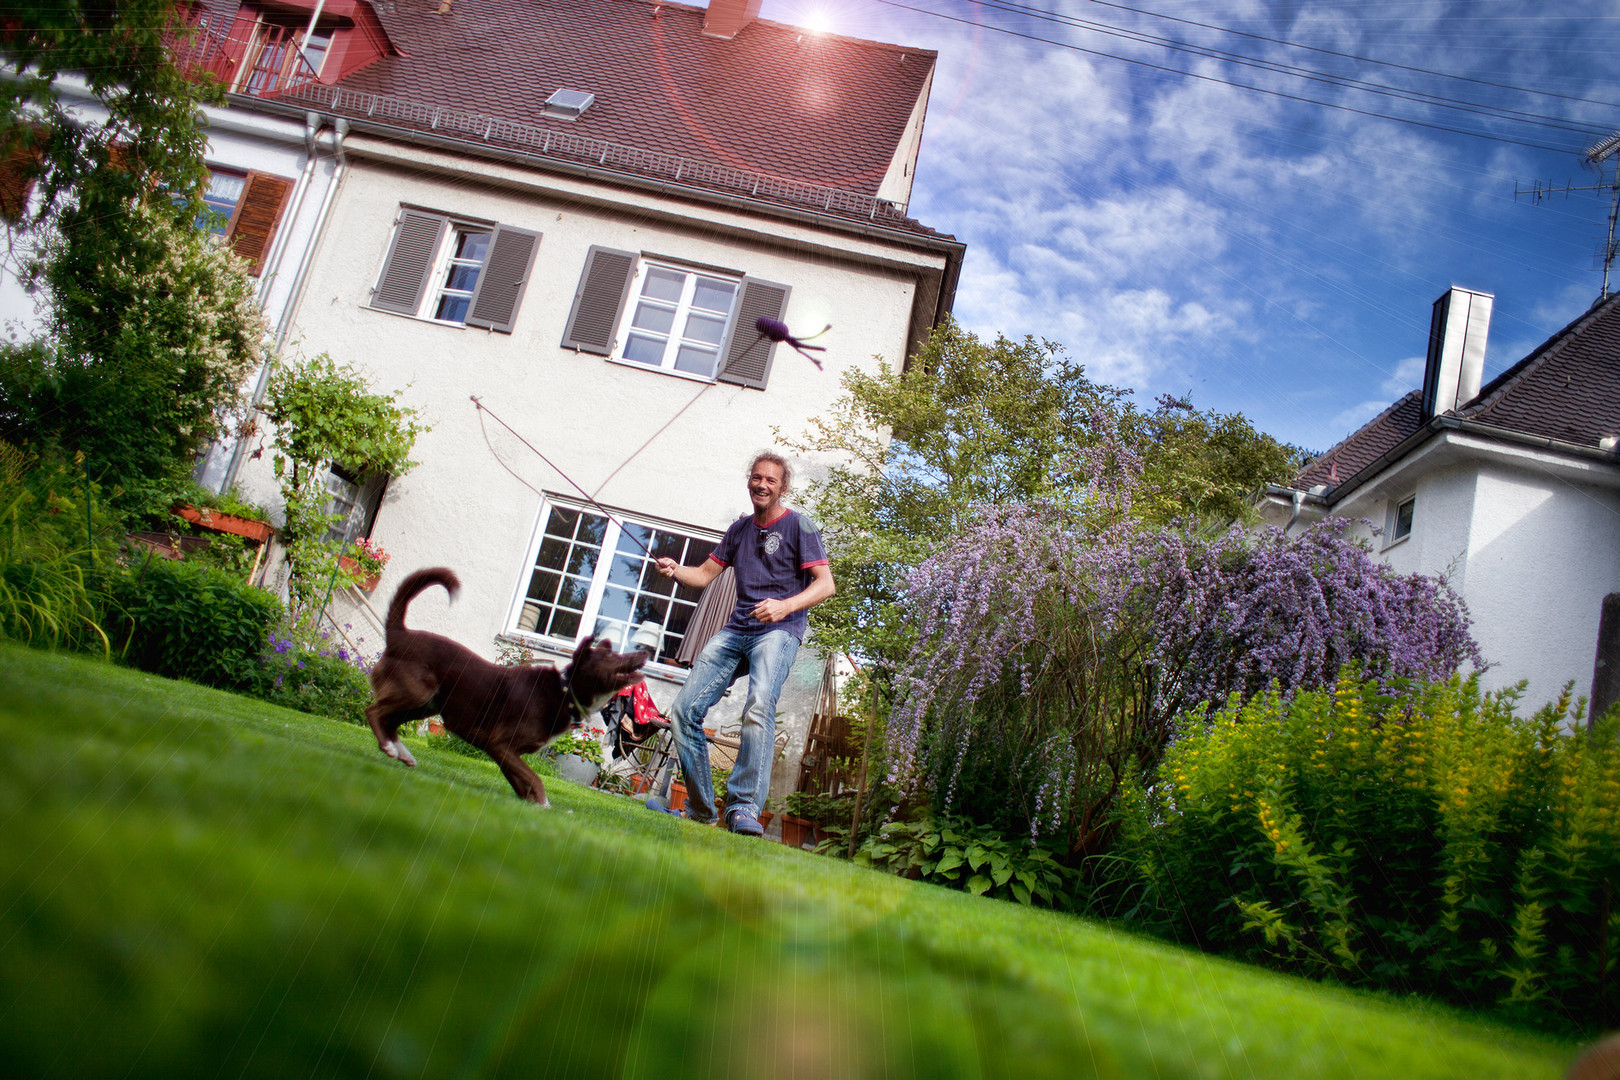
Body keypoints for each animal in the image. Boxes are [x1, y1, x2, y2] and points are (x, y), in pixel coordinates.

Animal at [367, 569, 644, 806]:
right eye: (611, 657)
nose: (645, 652)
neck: (564, 691)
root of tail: (400, 634)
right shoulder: (500, 744)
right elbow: (534, 778)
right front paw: (544, 805)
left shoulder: (505, 753)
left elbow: (521, 781)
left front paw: (531, 804)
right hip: (417, 692)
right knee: (374, 712)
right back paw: (390, 747)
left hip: (427, 704)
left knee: (390, 721)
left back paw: (401, 752)